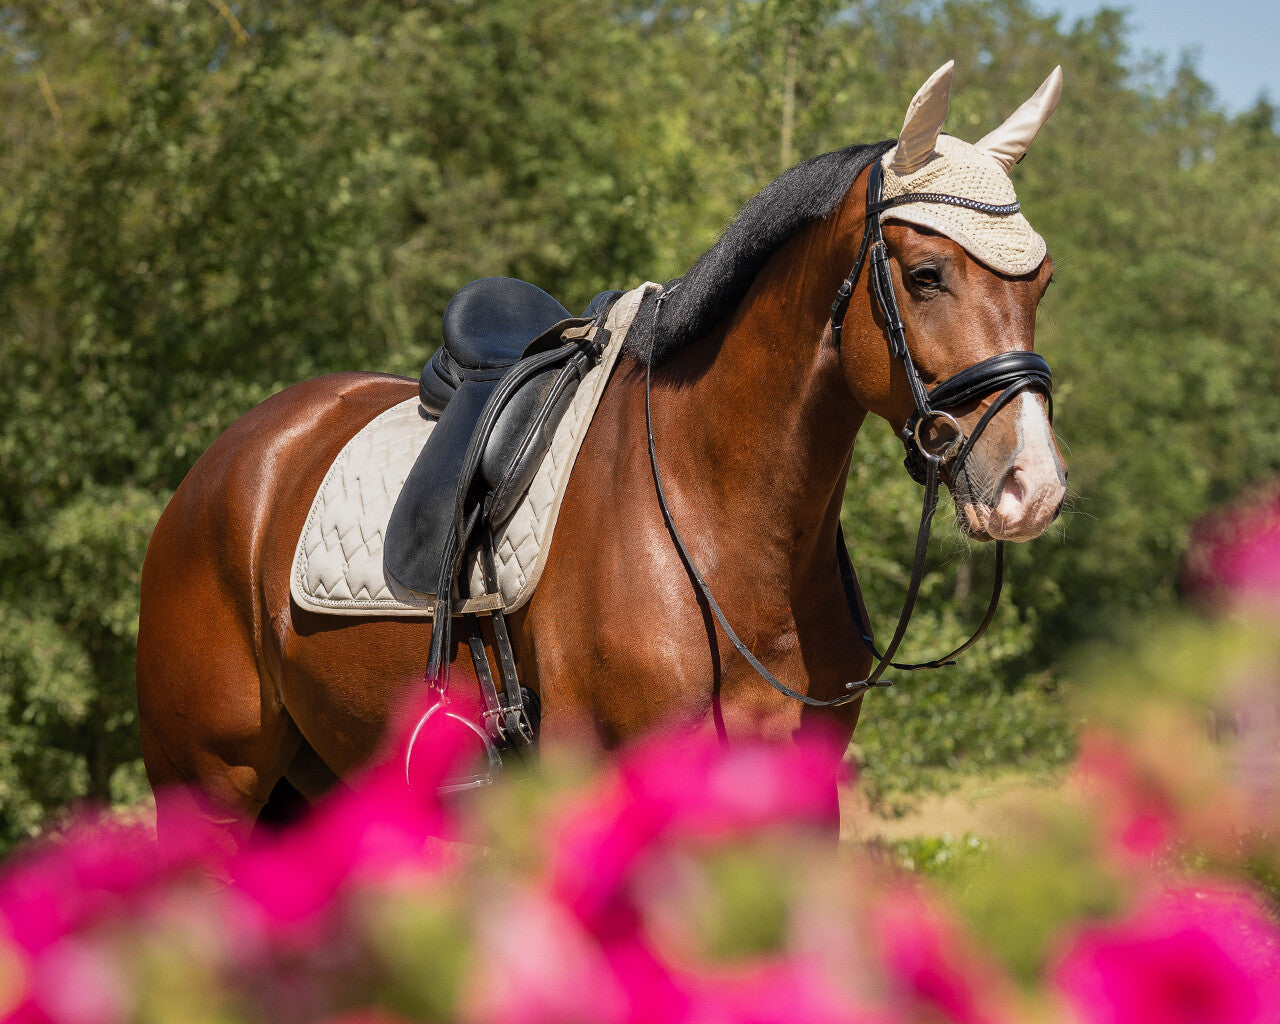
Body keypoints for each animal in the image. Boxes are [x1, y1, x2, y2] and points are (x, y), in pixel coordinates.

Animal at [135, 60, 1064, 849]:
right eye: (927, 274)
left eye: (1043, 282)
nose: (1034, 486)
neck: (714, 515)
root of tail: (229, 465)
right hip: (211, 785)